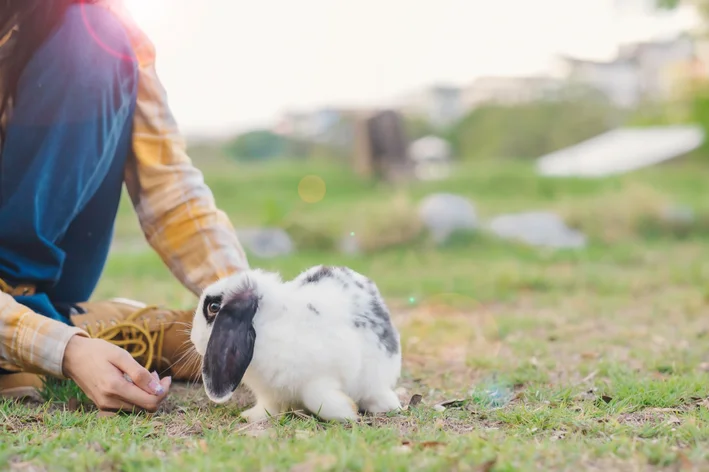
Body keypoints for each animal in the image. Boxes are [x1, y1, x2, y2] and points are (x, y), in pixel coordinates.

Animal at [189, 266, 404, 424]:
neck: (268, 328)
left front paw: (347, 412)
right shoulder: (269, 393)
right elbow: (268, 406)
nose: (193, 339)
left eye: (213, 307)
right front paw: (252, 416)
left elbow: (316, 398)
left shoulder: (320, 378)